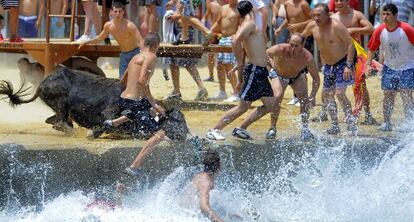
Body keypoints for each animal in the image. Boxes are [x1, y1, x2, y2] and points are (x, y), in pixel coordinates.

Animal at [0, 67, 190, 140]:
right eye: (176, 119)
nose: (186, 133)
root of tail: (43, 83)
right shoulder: (110, 112)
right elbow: (106, 124)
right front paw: (92, 134)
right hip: (61, 103)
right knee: (60, 121)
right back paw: (72, 131)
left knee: (54, 120)